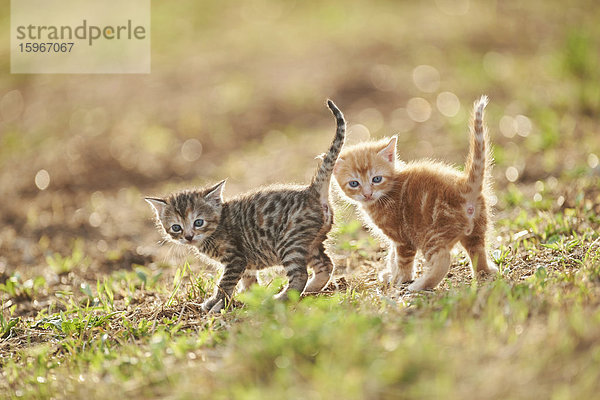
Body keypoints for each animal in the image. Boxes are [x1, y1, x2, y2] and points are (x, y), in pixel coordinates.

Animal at [146, 100, 346, 312]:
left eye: (198, 222)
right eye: (176, 227)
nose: (189, 236)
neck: (217, 228)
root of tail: (311, 192)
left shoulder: (236, 259)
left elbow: (225, 282)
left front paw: (218, 304)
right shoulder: (246, 263)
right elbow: (249, 281)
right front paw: (250, 299)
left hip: (290, 241)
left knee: (300, 274)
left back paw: (283, 297)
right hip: (311, 243)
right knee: (326, 265)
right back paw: (310, 290)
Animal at [332, 97, 496, 290]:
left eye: (376, 179)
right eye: (354, 183)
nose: (367, 194)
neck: (387, 193)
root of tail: (465, 186)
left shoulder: (403, 237)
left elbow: (402, 260)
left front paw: (399, 279)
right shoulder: (396, 240)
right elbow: (392, 256)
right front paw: (390, 274)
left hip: (431, 233)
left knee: (442, 259)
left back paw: (420, 285)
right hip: (477, 228)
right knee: (478, 250)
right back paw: (485, 272)